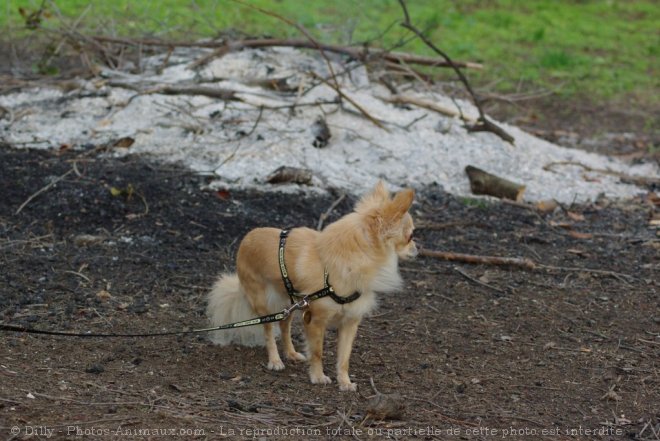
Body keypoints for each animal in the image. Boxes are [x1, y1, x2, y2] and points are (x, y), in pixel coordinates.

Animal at [206, 180, 416, 390]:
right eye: (410, 236)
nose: (416, 248)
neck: (348, 264)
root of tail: (247, 238)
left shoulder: (350, 322)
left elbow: (344, 357)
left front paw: (344, 382)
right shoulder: (316, 321)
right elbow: (317, 352)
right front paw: (318, 376)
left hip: (289, 304)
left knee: (284, 325)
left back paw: (290, 353)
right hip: (264, 304)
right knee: (269, 331)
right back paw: (275, 360)